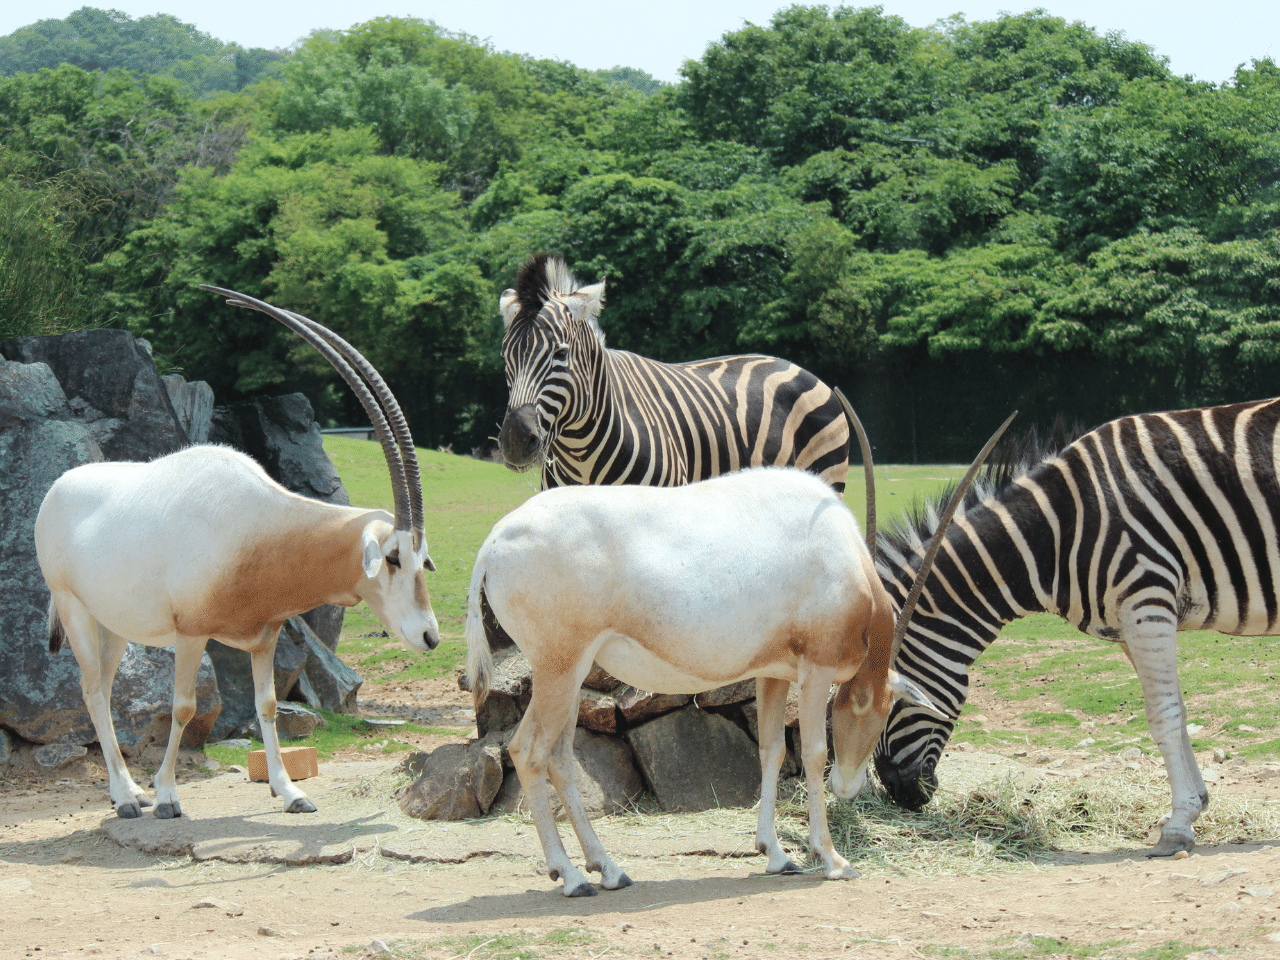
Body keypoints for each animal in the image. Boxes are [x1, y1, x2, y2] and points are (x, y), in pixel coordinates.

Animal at [875, 394, 1280, 860]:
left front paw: (1177, 828)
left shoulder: (1146, 599)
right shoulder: (1132, 620)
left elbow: (1163, 716)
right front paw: (1194, 806)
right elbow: (1176, 712)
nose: (896, 792)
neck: (1056, 532)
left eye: (888, 701)